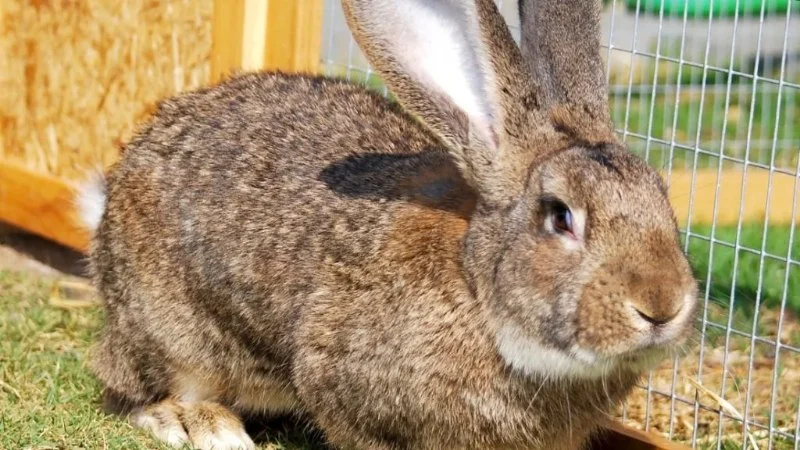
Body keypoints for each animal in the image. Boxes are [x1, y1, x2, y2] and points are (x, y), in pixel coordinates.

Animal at [80, 0, 698, 448]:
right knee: (134, 387)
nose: (661, 305)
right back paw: (203, 427)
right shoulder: (343, 386)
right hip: (170, 330)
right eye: (561, 216)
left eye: (663, 200)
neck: (477, 289)